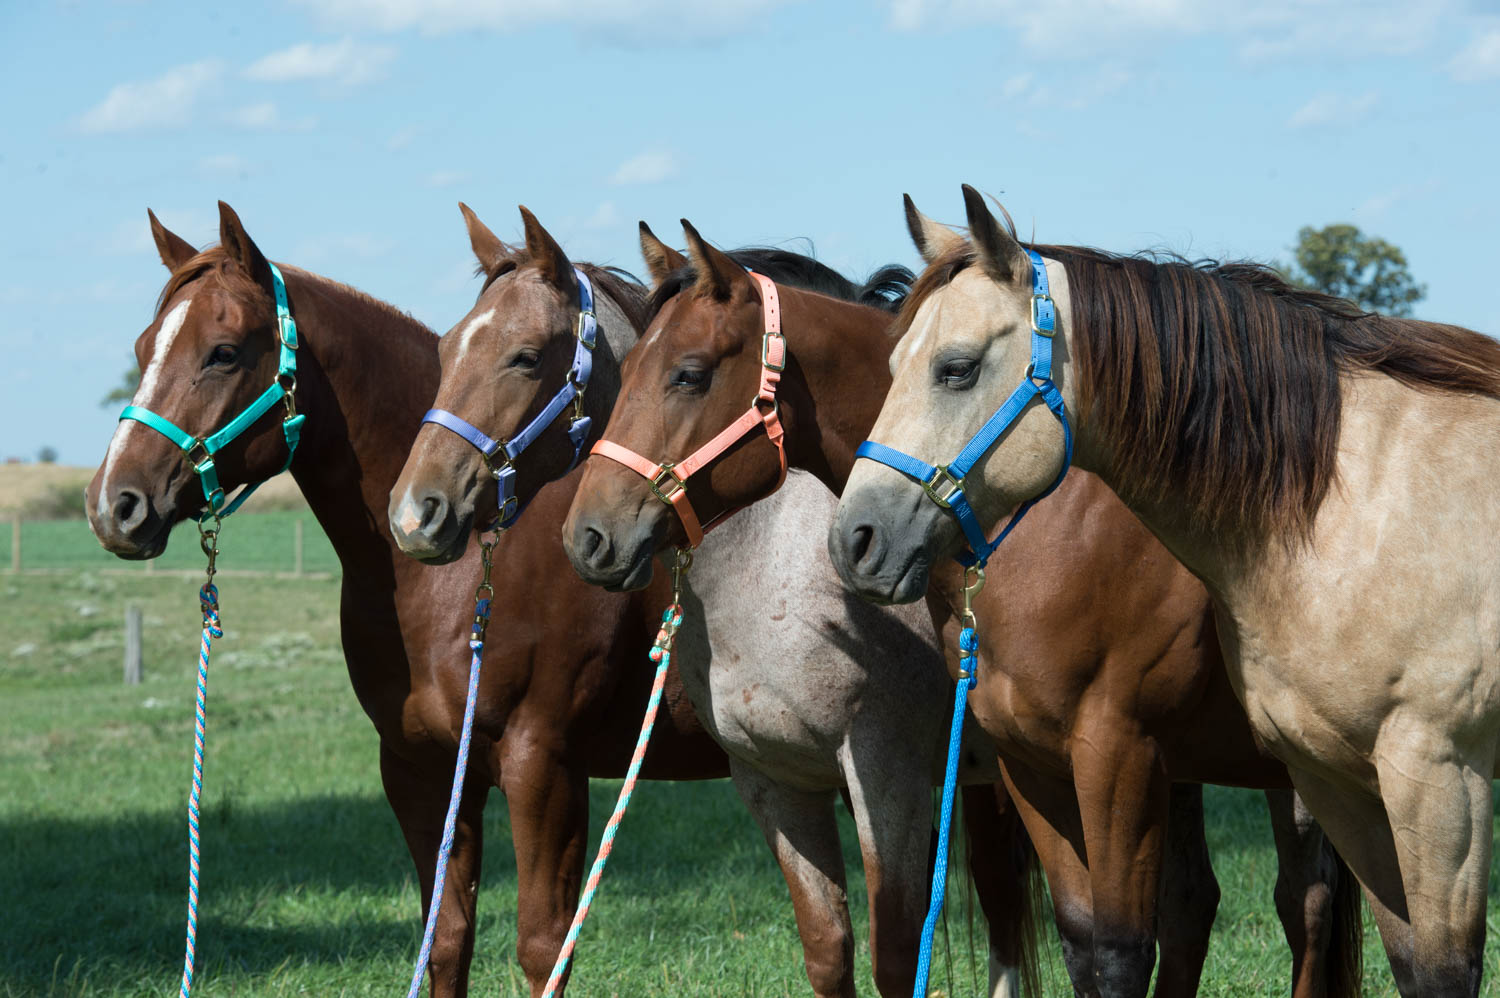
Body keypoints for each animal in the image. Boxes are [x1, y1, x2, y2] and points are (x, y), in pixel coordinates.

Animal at [85, 198, 735, 990]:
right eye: (144, 346)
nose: (114, 504)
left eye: (224, 353)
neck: (447, 587)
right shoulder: (420, 769)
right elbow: (444, 939)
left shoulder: (543, 766)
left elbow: (543, 948)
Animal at [384, 202, 1032, 996]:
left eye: (526, 357)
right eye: (447, 352)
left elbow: (897, 957)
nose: (415, 511)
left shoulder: (890, 779)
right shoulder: (775, 783)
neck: (785, 563)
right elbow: (829, 950)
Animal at [558, 217, 1368, 996]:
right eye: (625, 375)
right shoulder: (798, 780)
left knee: (1307, 907)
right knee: (1200, 903)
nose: (588, 535)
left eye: (689, 374)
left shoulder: (952, 767)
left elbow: (922, 953)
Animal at [834, 186, 1500, 996]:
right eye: (891, 363)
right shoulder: (1334, 780)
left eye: (956, 369)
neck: (1360, 505)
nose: (854, 540)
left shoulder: (1436, 781)